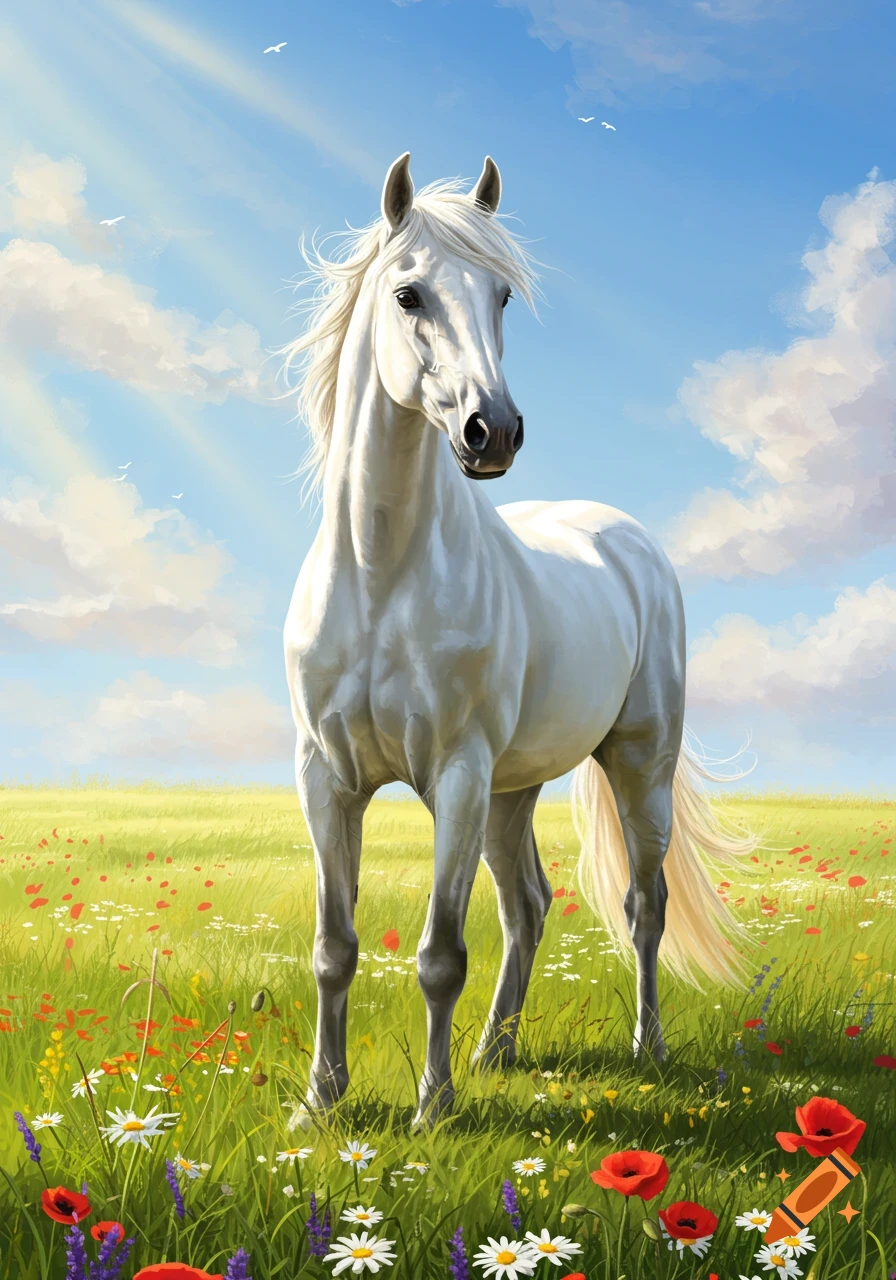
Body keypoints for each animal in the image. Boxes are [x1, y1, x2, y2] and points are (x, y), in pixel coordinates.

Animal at [282, 153, 753, 1129]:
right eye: (409, 294)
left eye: (500, 295)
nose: (491, 431)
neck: (381, 577)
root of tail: (626, 539)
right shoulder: (326, 780)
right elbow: (334, 947)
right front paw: (321, 1103)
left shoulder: (456, 775)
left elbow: (438, 955)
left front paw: (431, 1111)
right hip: (512, 790)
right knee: (528, 906)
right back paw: (496, 1052)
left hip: (635, 768)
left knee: (643, 904)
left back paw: (645, 1047)